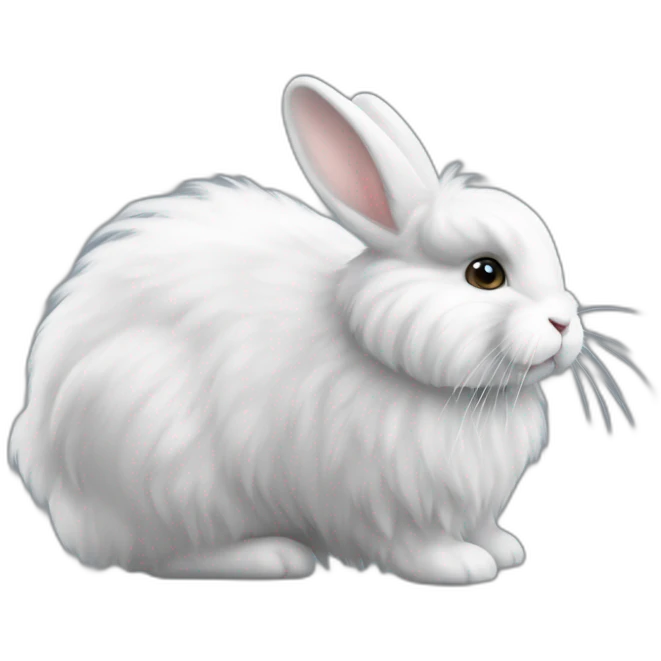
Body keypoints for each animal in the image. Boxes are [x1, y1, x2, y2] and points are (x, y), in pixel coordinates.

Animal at [7, 75, 585, 585]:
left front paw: (503, 549)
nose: (564, 323)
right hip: (165, 467)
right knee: (161, 556)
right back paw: (272, 556)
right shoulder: (374, 498)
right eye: (485, 273)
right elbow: (410, 545)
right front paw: (459, 565)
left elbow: (481, 527)